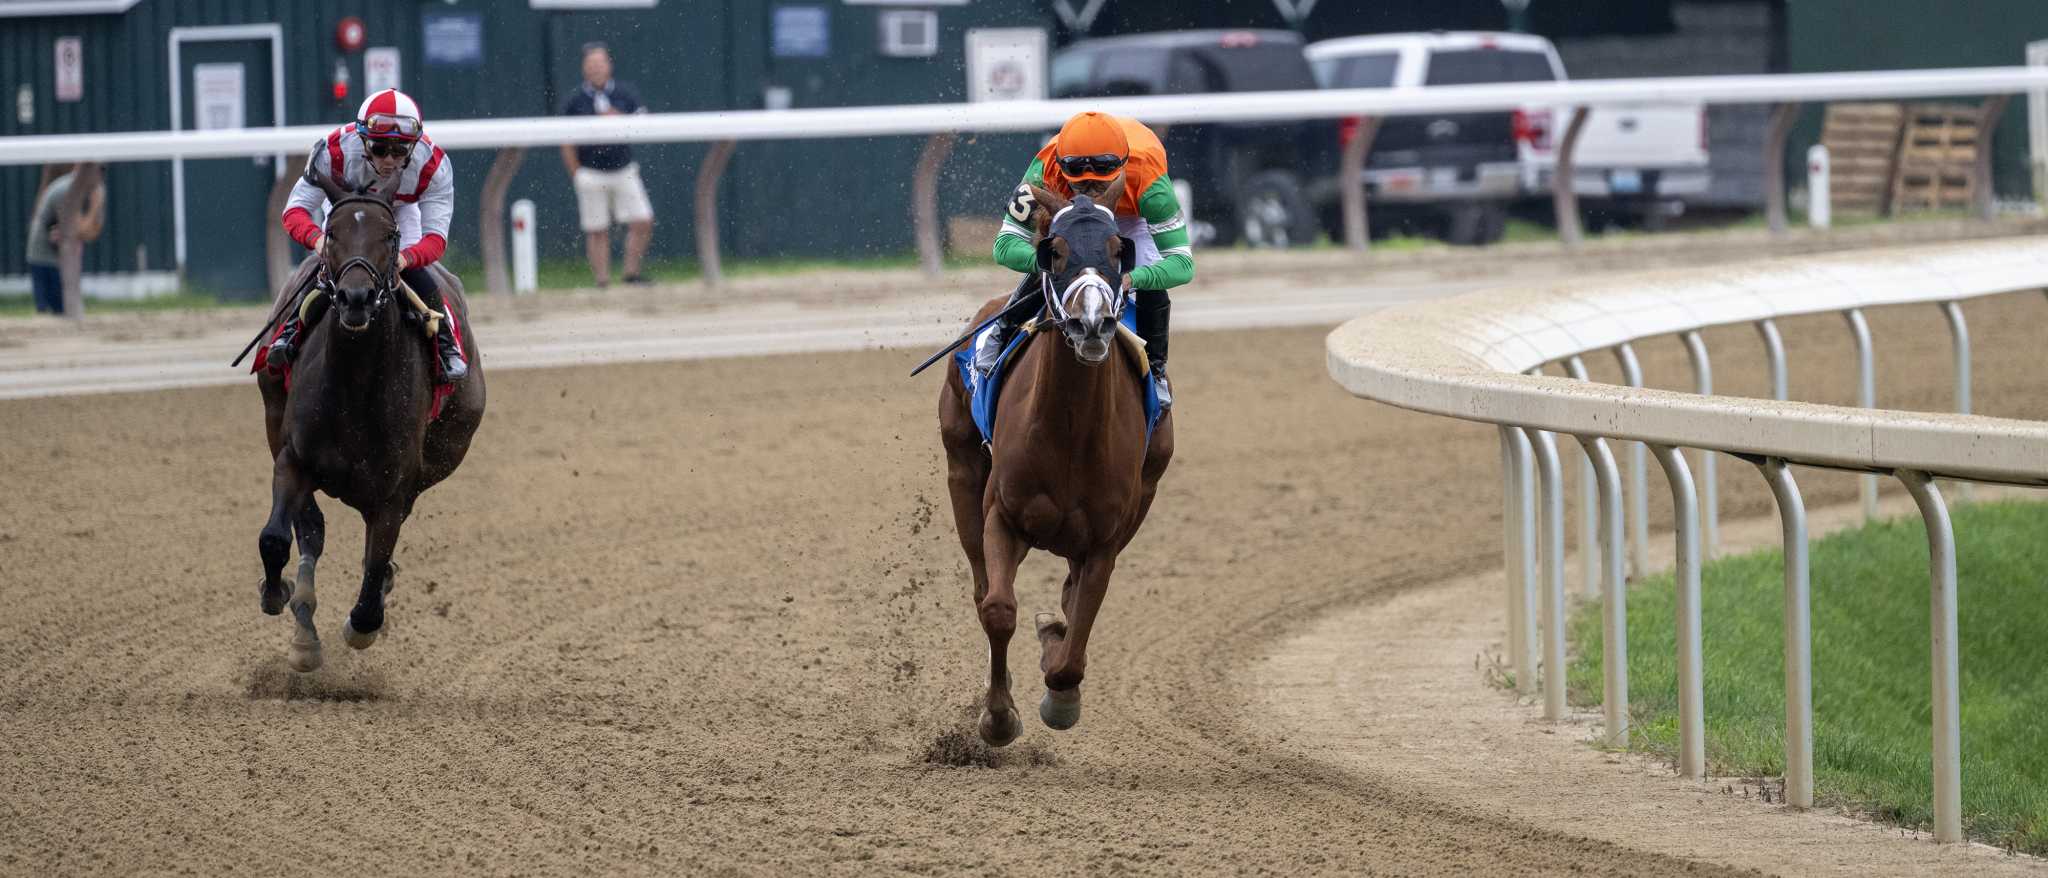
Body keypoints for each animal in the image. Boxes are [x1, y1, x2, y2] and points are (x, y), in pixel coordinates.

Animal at [254, 167, 487, 671]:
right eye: (332, 233)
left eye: (390, 235)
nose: (356, 298)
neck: (354, 387)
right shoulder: (292, 458)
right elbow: (276, 538)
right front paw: (276, 593)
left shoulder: (395, 487)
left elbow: (376, 566)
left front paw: (365, 619)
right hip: (274, 419)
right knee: (311, 531)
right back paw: (303, 629)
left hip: (444, 453)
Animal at [937, 193, 1179, 744]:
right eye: (1056, 251)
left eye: (1117, 251)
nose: (1091, 324)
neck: (1070, 434)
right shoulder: (1003, 516)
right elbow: (998, 609)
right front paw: (999, 717)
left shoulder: (1105, 540)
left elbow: (1077, 631)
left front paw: (1060, 696)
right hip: (962, 473)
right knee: (982, 586)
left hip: (1144, 493)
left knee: (1068, 599)